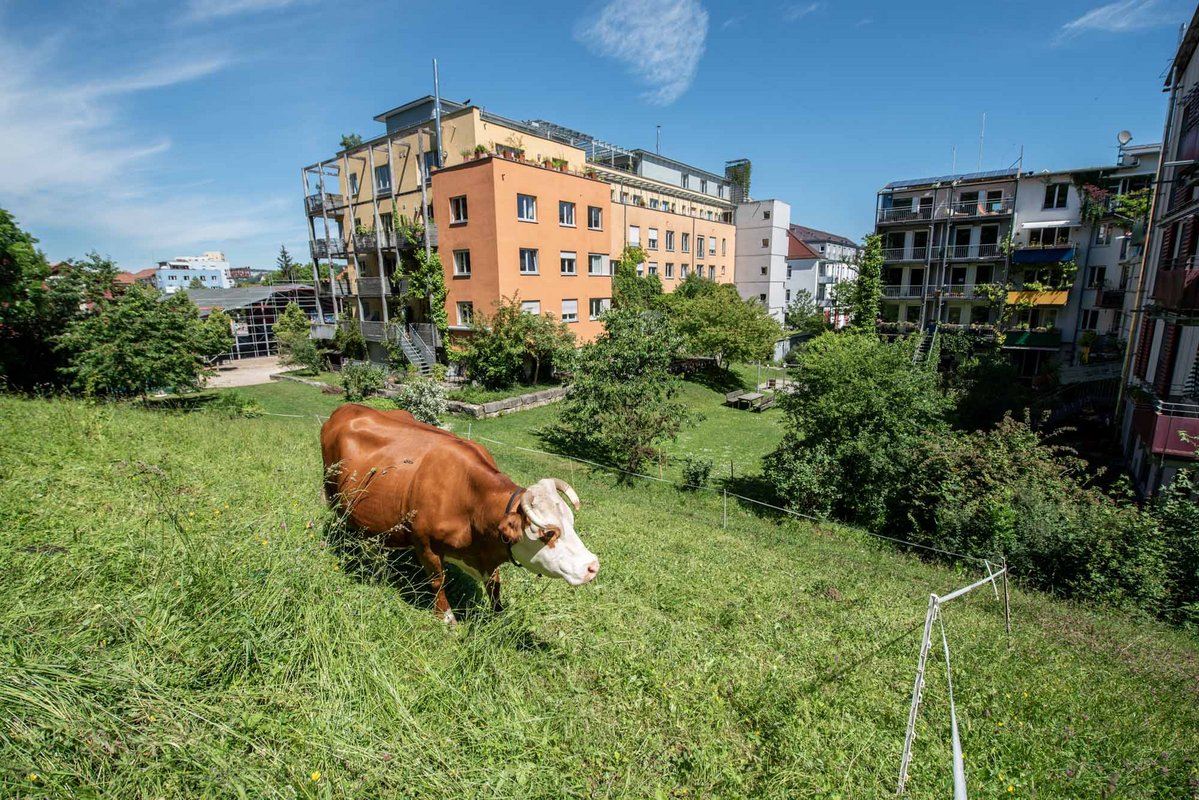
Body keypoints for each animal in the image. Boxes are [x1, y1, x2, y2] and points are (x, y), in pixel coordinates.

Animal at [318, 402, 599, 623]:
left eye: (571, 522)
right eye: (548, 533)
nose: (593, 566)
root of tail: (346, 408)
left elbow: (495, 585)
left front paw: (498, 616)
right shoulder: (425, 545)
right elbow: (437, 581)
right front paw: (446, 618)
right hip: (332, 494)